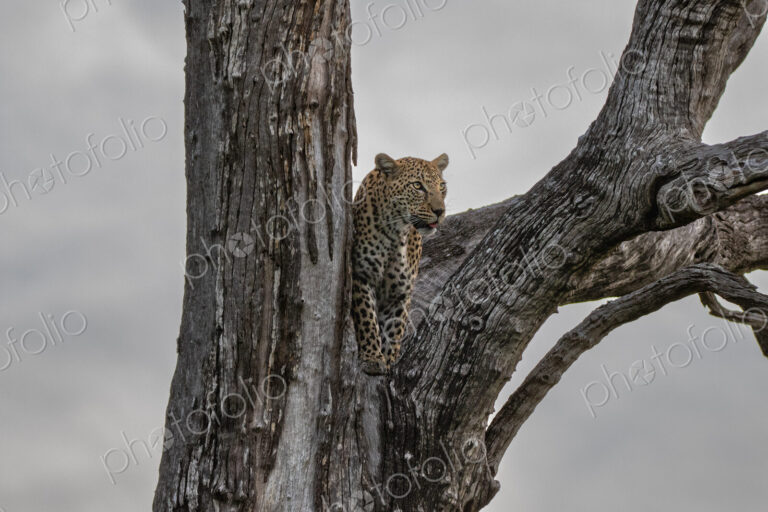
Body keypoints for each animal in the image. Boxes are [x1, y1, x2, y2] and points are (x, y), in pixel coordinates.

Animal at [351, 152, 449, 375]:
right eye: (418, 186)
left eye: (442, 186)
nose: (440, 211)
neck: (396, 233)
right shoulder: (361, 275)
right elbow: (367, 319)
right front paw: (372, 358)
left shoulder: (400, 291)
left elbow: (394, 329)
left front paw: (388, 360)